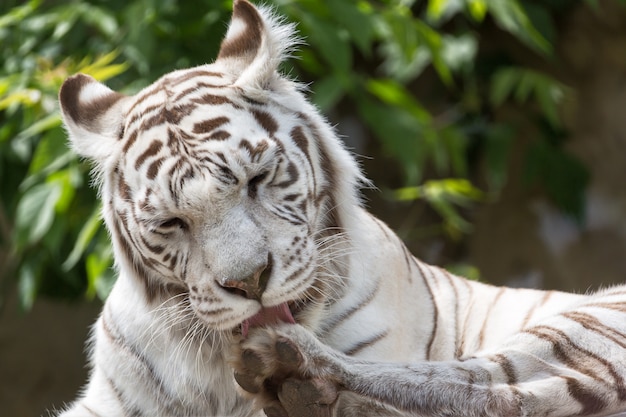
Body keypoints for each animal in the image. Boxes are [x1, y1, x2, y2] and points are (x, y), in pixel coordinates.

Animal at [54, 0, 624, 416]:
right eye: (172, 223)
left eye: (257, 179)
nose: (250, 283)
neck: (221, 367)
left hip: (587, 321)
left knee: (491, 387)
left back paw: (296, 371)